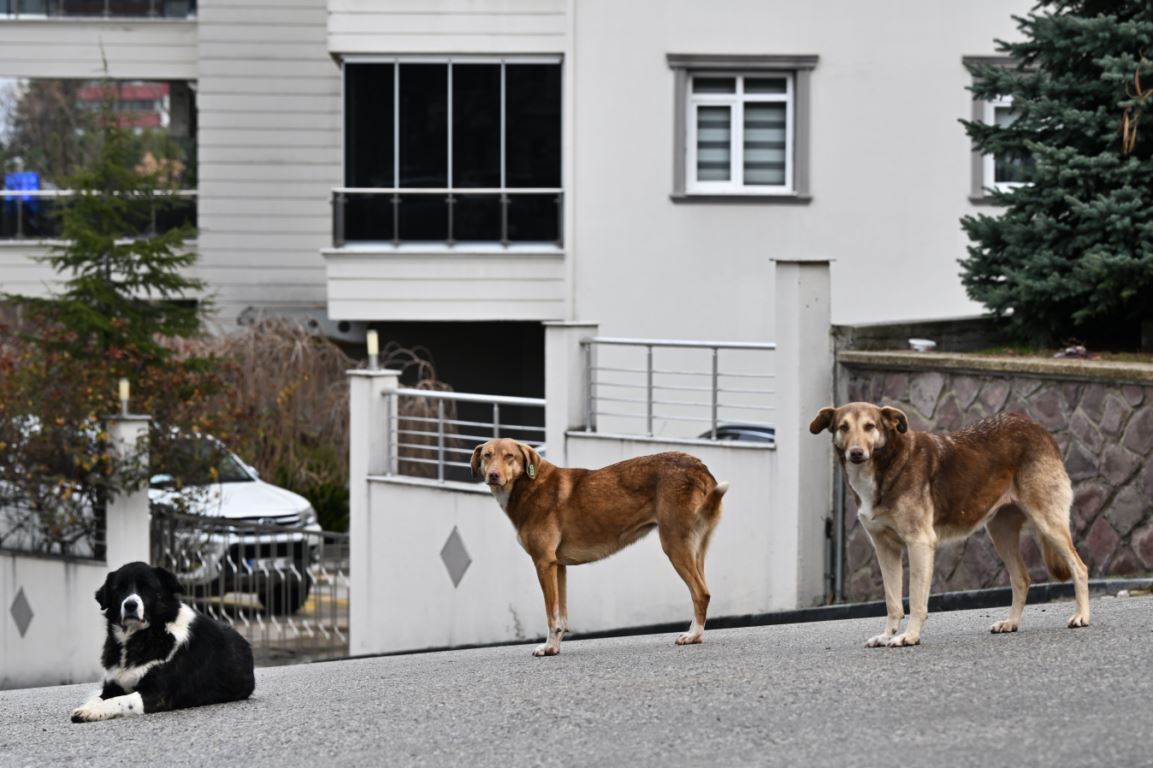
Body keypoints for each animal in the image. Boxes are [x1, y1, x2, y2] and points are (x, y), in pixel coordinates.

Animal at [70, 560, 255, 719]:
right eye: (119, 589)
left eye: (147, 588)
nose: (130, 605)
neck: (148, 634)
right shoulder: (111, 686)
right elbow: (99, 698)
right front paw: (87, 708)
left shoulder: (157, 693)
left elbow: (121, 700)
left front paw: (94, 710)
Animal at [470, 440, 724, 654]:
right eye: (486, 456)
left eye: (509, 456)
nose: (493, 475)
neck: (527, 487)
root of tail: (699, 467)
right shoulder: (558, 566)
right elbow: (561, 616)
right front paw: (554, 648)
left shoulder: (543, 563)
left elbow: (551, 615)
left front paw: (547, 647)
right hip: (695, 550)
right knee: (702, 592)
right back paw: (695, 634)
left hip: (674, 545)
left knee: (700, 593)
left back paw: (693, 636)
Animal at [811, 401, 1088, 645]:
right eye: (843, 427)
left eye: (870, 426)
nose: (856, 453)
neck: (887, 464)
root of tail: (1036, 426)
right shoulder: (885, 549)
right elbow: (892, 602)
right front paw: (887, 636)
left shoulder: (919, 544)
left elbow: (916, 600)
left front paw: (909, 637)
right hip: (1000, 533)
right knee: (1021, 578)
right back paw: (1011, 623)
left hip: (1047, 522)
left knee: (1079, 567)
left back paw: (1081, 616)